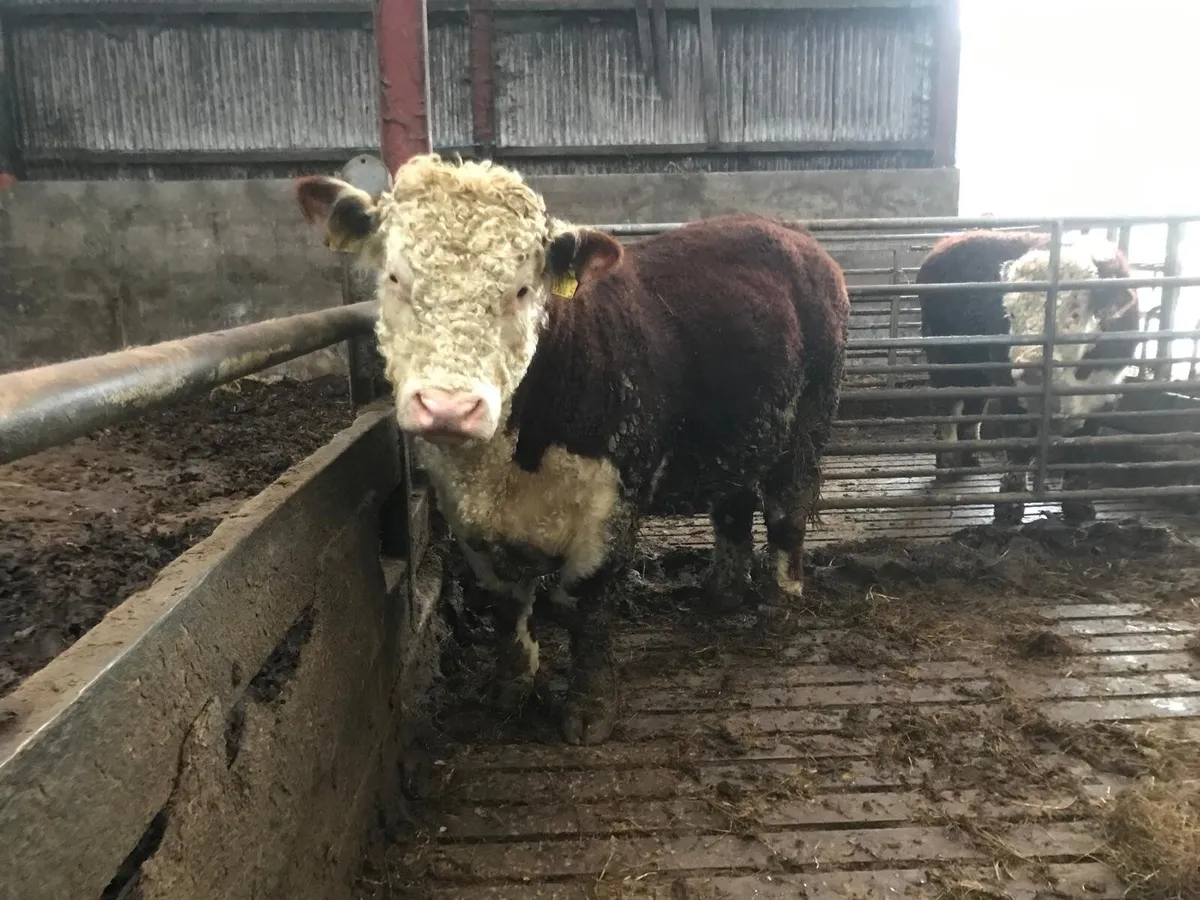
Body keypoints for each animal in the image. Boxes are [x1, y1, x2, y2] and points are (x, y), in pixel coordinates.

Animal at [294, 154, 850, 745]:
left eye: (521, 289)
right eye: (396, 277)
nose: (449, 407)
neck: (510, 461)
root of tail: (790, 232)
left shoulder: (613, 501)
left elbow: (585, 602)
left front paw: (589, 708)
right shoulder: (465, 513)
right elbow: (505, 600)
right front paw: (510, 686)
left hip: (811, 419)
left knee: (788, 506)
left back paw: (778, 602)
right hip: (738, 427)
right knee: (732, 504)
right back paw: (721, 593)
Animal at [916, 230, 1139, 524]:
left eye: (1075, 313)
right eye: (1011, 313)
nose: (1030, 367)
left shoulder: (1103, 394)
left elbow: (1082, 449)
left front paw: (1079, 506)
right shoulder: (1014, 393)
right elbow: (1019, 448)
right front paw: (1009, 507)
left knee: (974, 406)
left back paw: (970, 459)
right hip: (944, 358)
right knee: (947, 408)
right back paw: (948, 463)